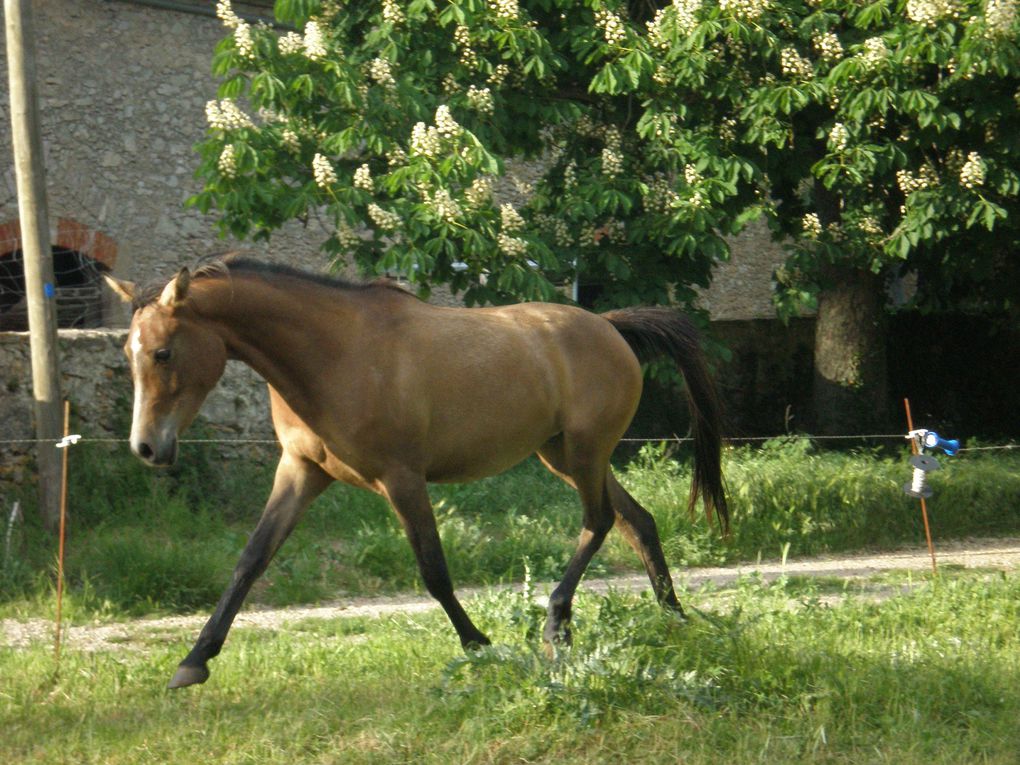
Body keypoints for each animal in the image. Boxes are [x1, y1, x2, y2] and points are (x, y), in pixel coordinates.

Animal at [101, 256, 726, 689]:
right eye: (127, 354)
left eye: (162, 352)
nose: (147, 448)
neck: (334, 354)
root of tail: (609, 326)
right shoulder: (300, 472)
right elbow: (250, 562)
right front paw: (193, 662)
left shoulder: (401, 478)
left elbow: (434, 573)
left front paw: (480, 646)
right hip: (563, 456)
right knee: (636, 521)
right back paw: (674, 617)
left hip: (585, 450)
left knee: (598, 522)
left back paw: (557, 624)